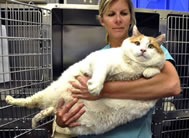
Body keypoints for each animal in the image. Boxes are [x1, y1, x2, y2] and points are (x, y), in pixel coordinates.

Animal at [5, 25, 165, 137]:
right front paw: (96, 87)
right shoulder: (98, 61)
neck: (133, 66)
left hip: (74, 125)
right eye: (137, 43)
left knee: (48, 113)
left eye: (150, 46)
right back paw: (10, 99)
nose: (143, 50)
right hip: (46, 94)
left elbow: (158, 68)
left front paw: (149, 71)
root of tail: (57, 105)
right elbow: (101, 71)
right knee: (29, 102)